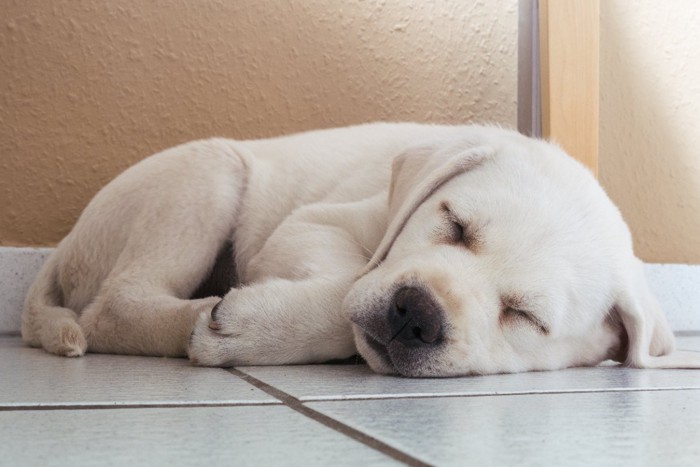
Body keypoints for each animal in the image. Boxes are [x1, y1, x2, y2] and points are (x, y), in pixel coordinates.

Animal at [21, 123, 700, 376]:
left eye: (525, 316)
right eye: (454, 225)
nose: (417, 314)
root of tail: (66, 245)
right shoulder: (315, 223)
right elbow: (346, 288)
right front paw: (256, 323)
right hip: (209, 174)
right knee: (111, 308)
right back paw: (195, 313)